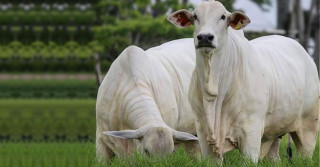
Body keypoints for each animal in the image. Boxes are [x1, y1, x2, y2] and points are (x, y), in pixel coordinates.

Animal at [169, 0, 318, 162]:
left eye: (223, 17)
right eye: (195, 16)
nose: (205, 37)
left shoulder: (251, 134)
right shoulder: (203, 134)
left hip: (309, 126)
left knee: (305, 153)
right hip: (274, 132)